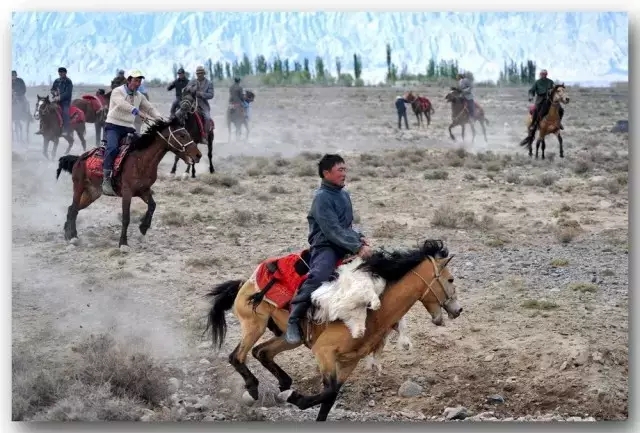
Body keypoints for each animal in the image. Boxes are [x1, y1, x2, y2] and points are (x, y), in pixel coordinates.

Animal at [57, 115, 204, 250]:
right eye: (182, 135)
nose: (198, 155)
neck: (141, 160)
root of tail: (78, 158)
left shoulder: (144, 190)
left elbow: (152, 206)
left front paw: (143, 229)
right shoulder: (127, 192)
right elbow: (126, 217)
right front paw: (123, 243)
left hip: (92, 193)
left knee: (72, 208)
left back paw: (68, 234)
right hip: (79, 187)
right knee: (74, 209)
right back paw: (72, 236)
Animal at [204, 238, 460, 420]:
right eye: (450, 280)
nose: (458, 310)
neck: (375, 312)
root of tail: (245, 283)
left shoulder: (349, 362)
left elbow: (331, 395)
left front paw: (294, 396)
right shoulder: (324, 352)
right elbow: (328, 392)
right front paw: (295, 397)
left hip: (289, 337)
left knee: (262, 352)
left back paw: (283, 384)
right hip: (254, 325)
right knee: (237, 356)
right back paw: (255, 389)